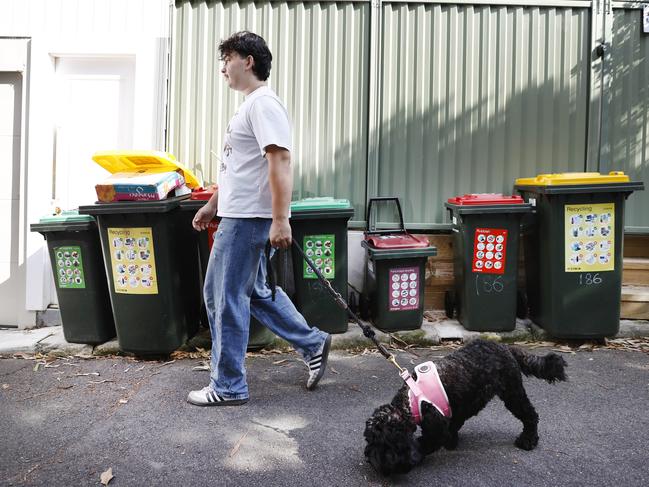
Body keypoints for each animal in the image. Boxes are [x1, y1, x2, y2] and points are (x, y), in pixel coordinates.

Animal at [364, 340, 568, 476]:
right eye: (369, 440)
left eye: (382, 443)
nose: (370, 460)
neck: (411, 400)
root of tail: (505, 347)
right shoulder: (454, 411)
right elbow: (453, 427)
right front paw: (452, 442)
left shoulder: (436, 426)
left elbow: (426, 443)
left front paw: (417, 456)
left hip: (513, 393)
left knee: (530, 415)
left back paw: (528, 440)